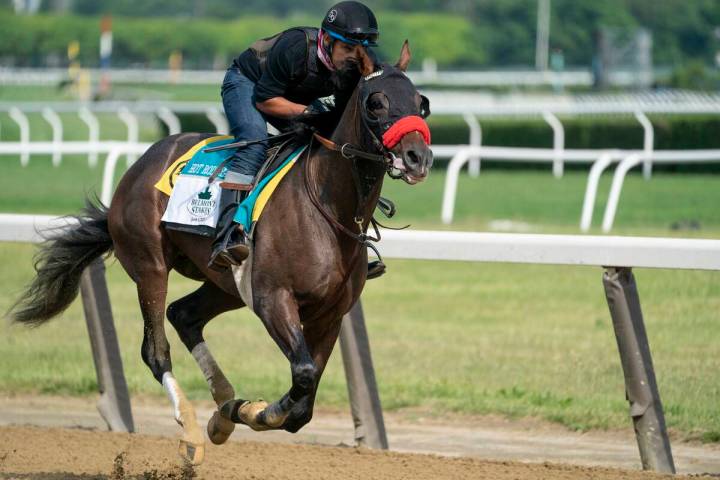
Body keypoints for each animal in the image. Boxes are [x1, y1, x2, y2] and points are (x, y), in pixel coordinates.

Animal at [9, 42, 434, 464]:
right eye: (376, 102)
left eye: (421, 102)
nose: (419, 157)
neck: (328, 207)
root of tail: (141, 164)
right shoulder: (272, 298)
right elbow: (303, 376)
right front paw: (254, 411)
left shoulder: (330, 314)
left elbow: (304, 404)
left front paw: (238, 412)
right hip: (150, 266)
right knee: (155, 350)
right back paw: (192, 432)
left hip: (224, 283)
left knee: (183, 315)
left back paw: (223, 409)